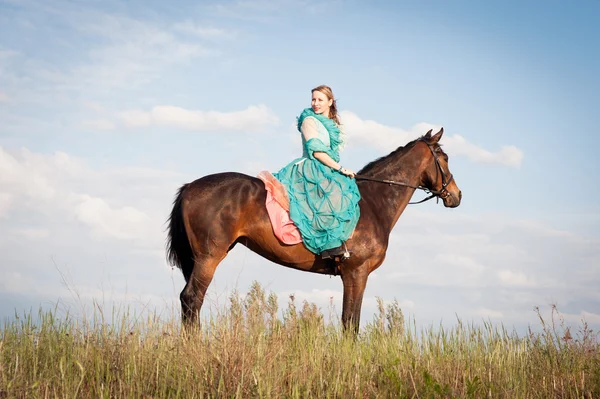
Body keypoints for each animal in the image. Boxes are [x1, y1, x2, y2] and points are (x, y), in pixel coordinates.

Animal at [166, 129, 462, 334]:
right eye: (445, 158)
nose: (456, 196)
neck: (374, 202)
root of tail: (190, 186)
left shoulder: (355, 275)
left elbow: (349, 322)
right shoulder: (356, 272)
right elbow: (350, 323)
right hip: (209, 257)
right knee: (192, 299)